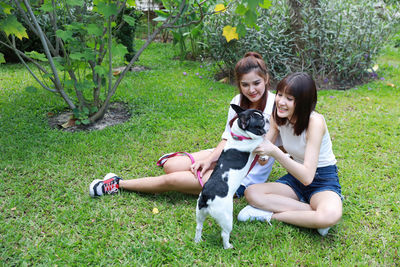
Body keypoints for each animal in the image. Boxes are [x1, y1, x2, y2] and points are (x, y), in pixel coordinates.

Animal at [194, 103, 266, 250]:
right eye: (260, 120)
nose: (267, 117)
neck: (240, 135)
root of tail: (207, 195)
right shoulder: (255, 144)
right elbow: (260, 143)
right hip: (226, 218)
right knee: (224, 234)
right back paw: (228, 246)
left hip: (200, 212)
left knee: (199, 227)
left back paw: (197, 241)